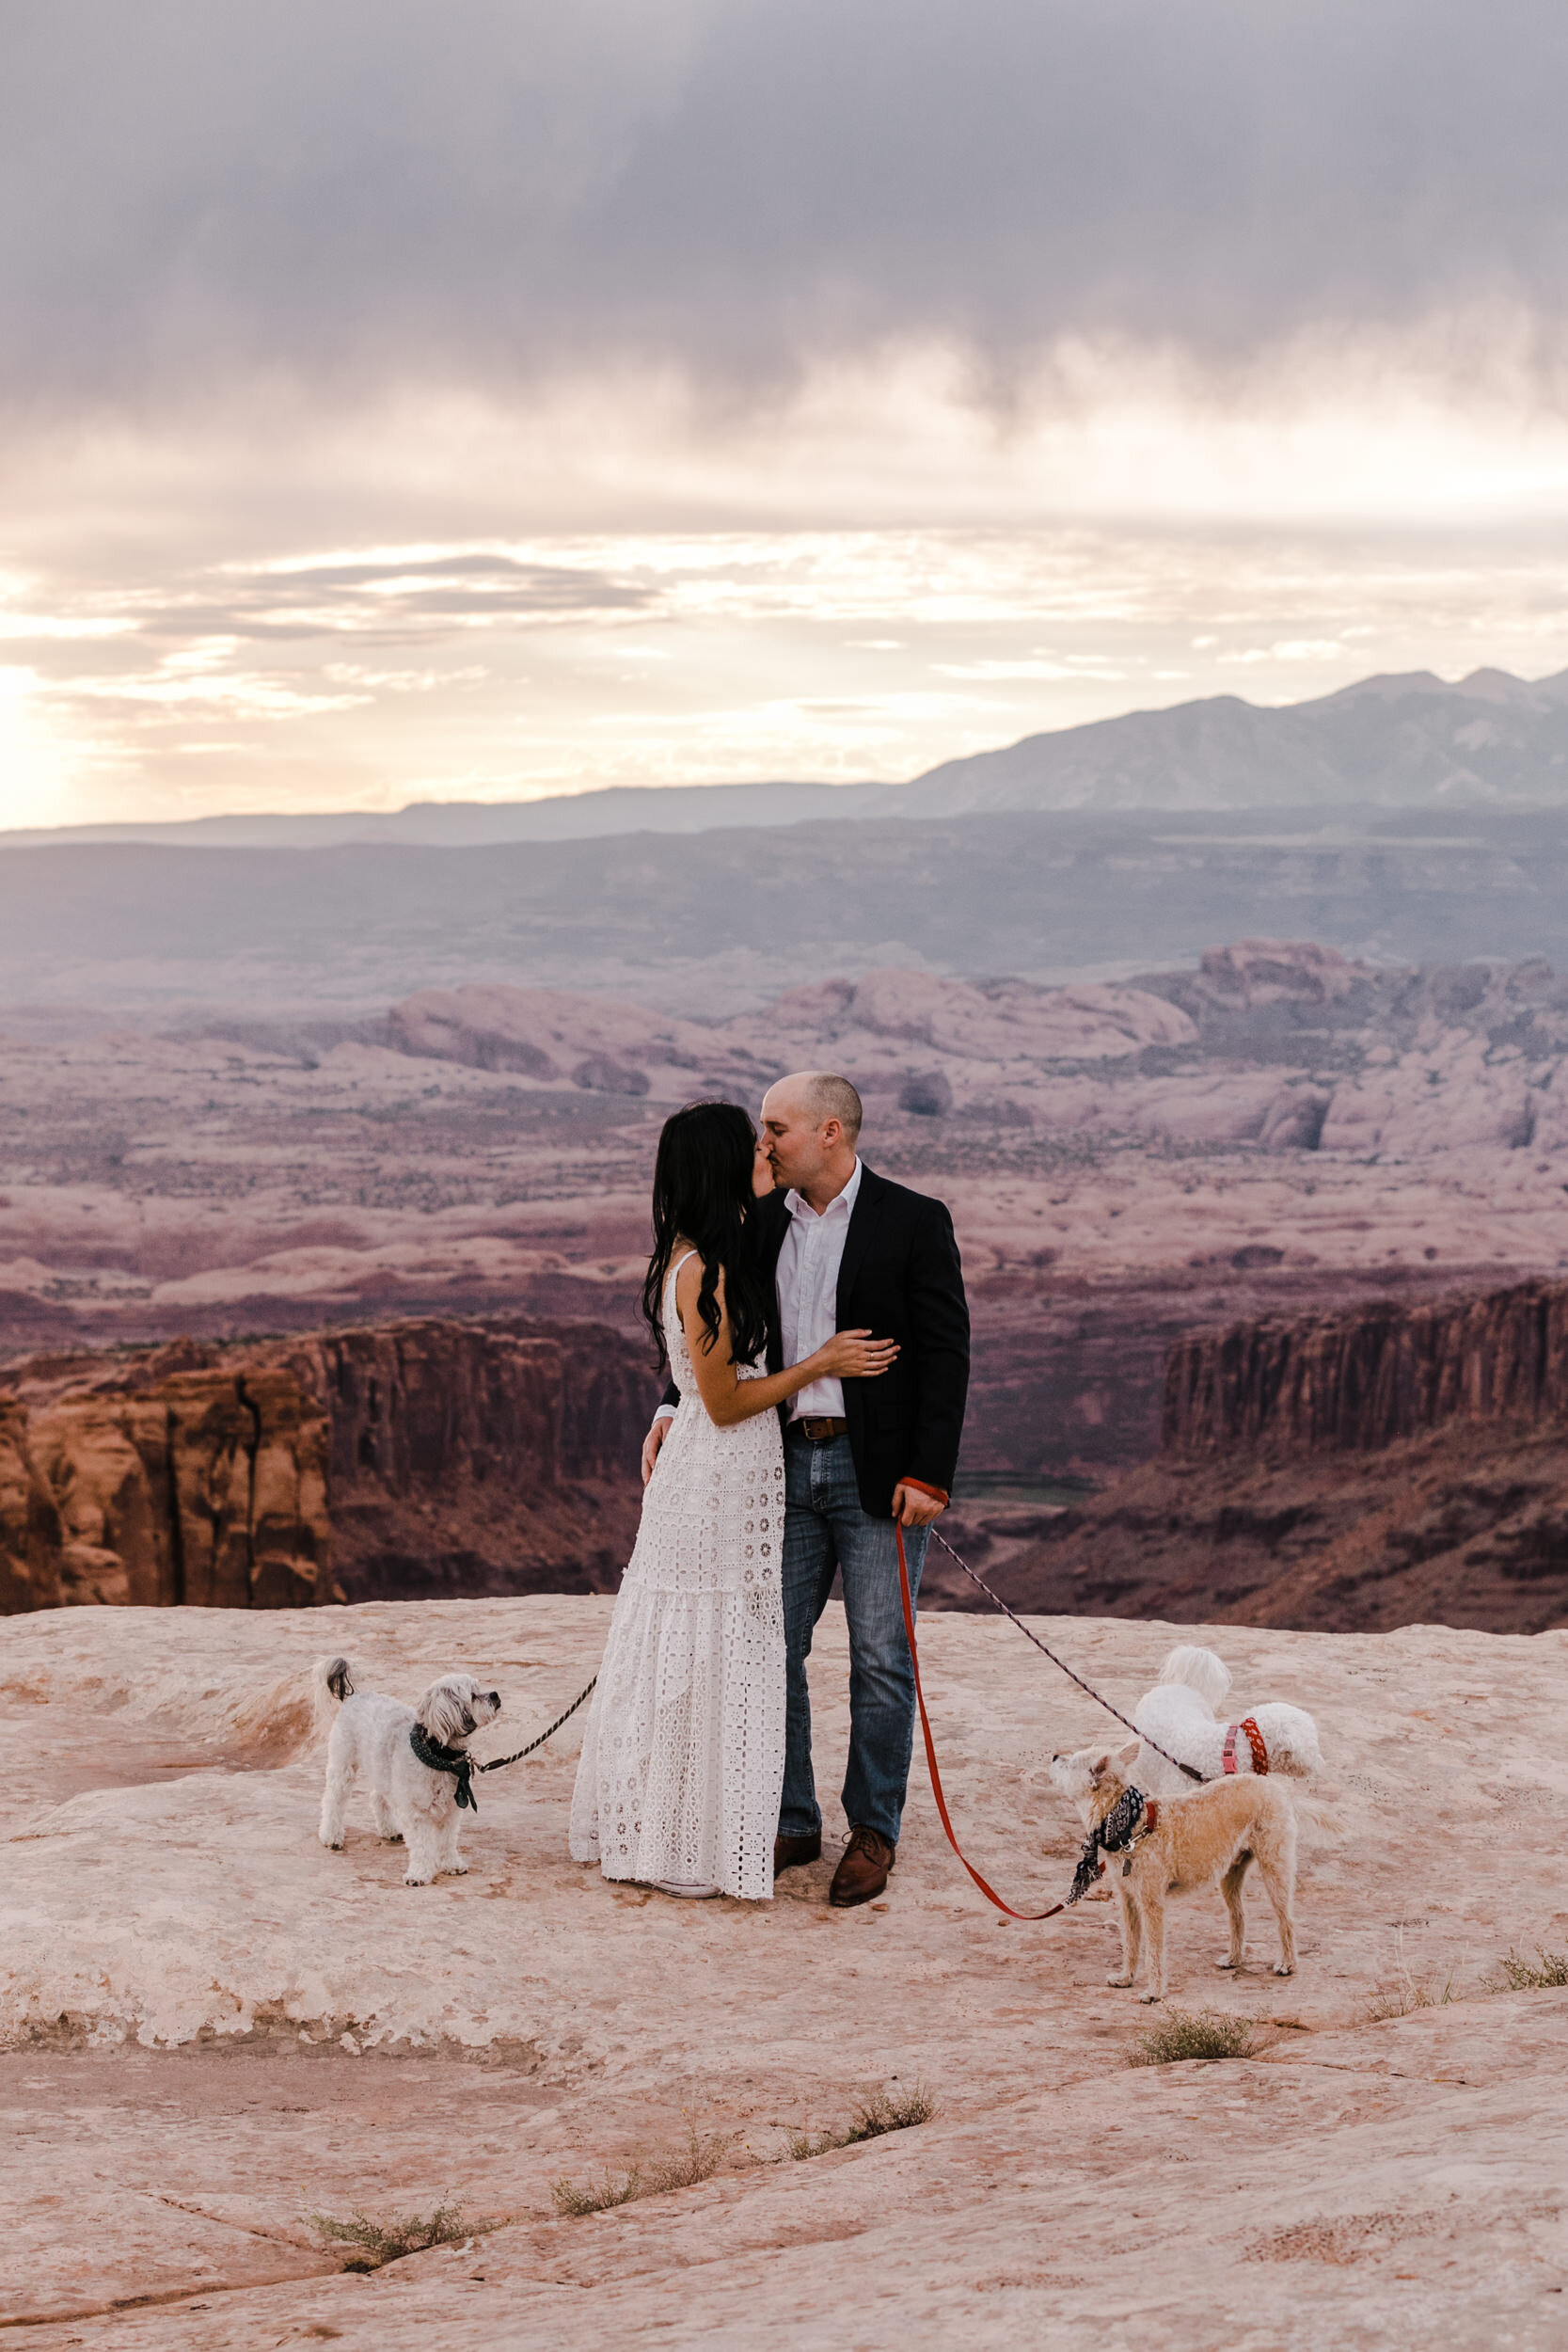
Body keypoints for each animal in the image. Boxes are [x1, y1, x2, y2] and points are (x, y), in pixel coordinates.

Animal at [309, 1656, 500, 1891]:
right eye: (473, 1696)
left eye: (480, 1689)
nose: (495, 1694)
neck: (438, 1754)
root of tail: (355, 1696)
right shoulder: (416, 1813)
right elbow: (422, 1846)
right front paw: (419, 1874)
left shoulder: (451, 1810)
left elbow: (447, 1841)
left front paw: (451, 1864)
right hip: (343, 1766)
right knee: (333, 1801)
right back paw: (331, 1836)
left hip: (383, 1770)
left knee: (377, 1798)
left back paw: (388, 1830)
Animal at [1053, 1750, 1297, 2004]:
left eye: (1071, 1763)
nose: (1055, 1756)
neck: (1131, 1826)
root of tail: (1268, 1783)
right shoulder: (1128, 1899)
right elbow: (1130, 1942)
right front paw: (1125, 1978)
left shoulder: (1152, 1903)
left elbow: (1153, 1949)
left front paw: (1154, 1992)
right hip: (1231, 1873)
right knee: (1238, 1915)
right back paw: (1233, 1959)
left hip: (1274, 1866)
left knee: (1285, 1918)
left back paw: (1287, 1964)